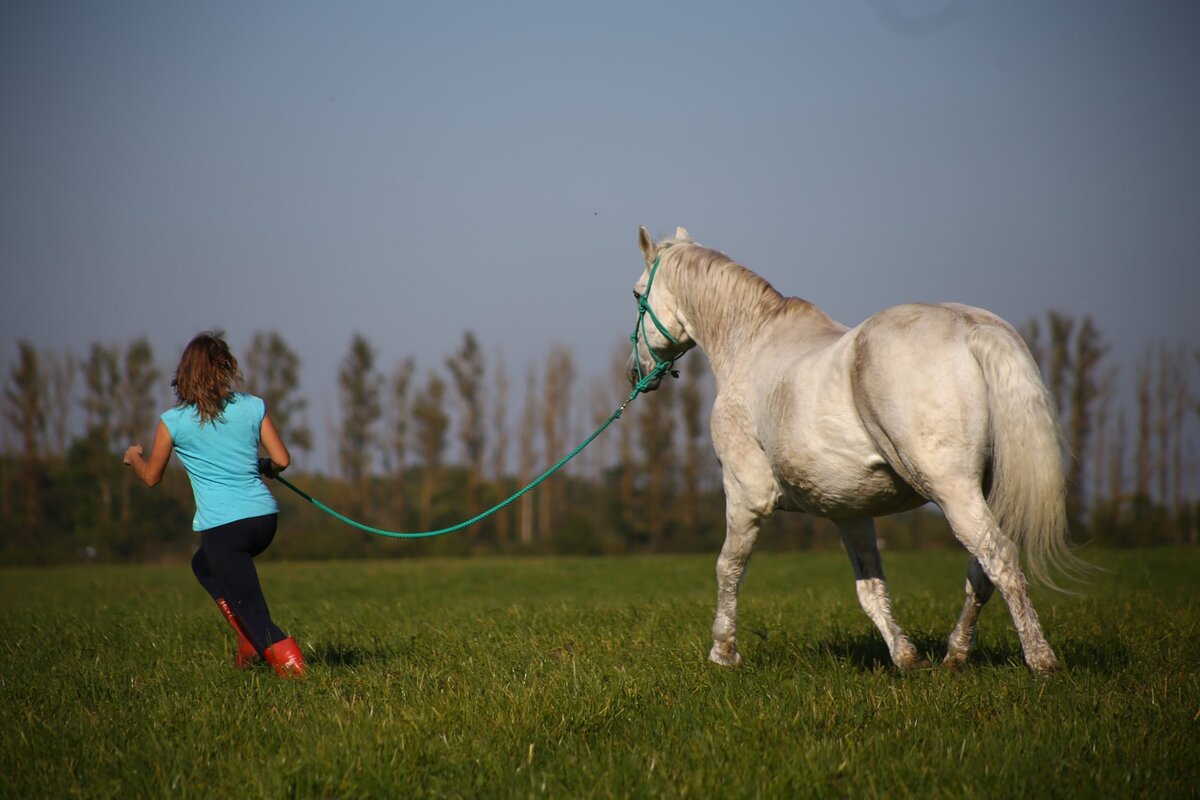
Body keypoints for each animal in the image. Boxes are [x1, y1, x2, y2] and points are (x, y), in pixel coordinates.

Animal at [628, 225, 1089, 676]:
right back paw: (955, 655)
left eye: (636, 295)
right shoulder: (849, 510)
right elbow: (870, 588)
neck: (750, 344)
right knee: (980, 570)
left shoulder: (746, 495)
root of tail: (970, 327)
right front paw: (905, 656)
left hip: (953, 489)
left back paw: (1041, 661)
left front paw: (723, 653)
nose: (636, 373)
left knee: (999, 557)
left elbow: (729, 567)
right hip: (985, 490)